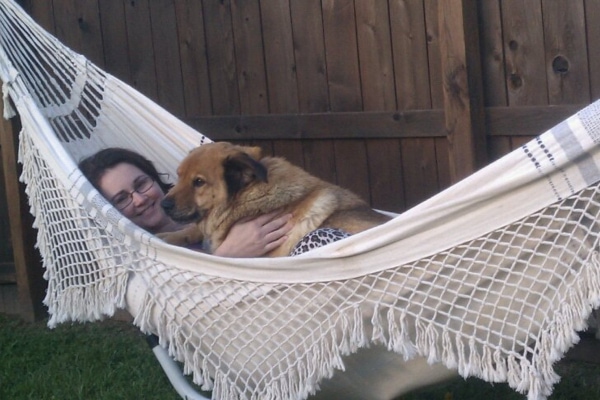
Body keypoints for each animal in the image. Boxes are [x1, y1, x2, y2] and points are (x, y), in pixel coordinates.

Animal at [158, 142, 390, 258]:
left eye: (198, 182)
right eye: (179, 176)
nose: (163, 205)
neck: (246, 195)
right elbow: (192, 229)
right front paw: (169, 236)